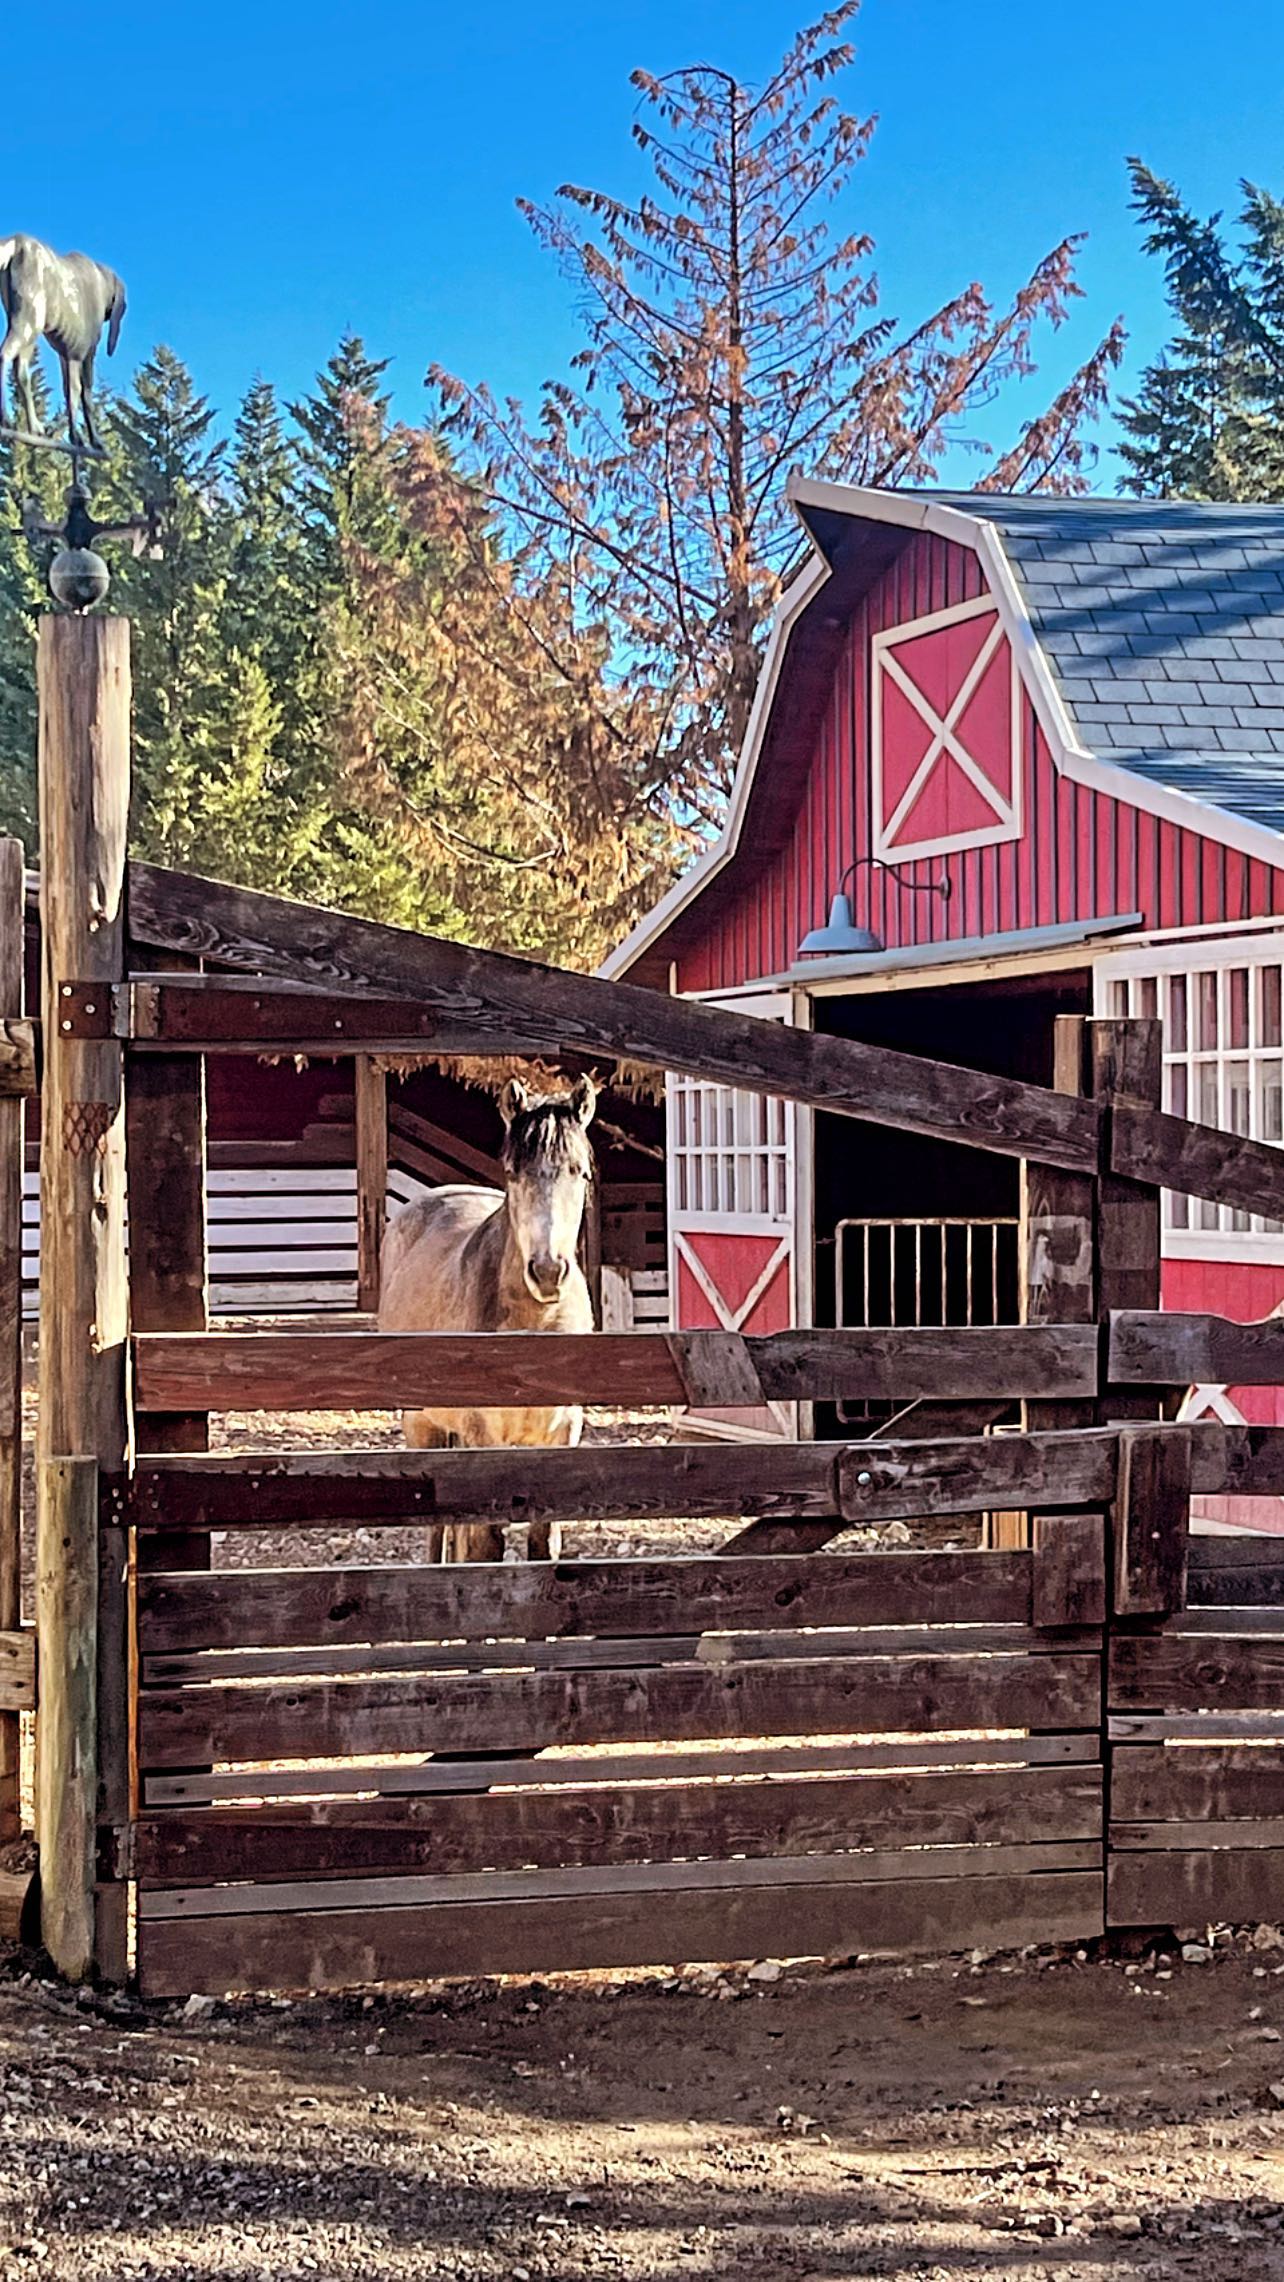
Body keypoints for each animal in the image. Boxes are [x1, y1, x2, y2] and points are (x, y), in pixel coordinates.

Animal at [0, 236, 127, 449]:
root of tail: (16, 243)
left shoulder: (66, 356)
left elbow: (69, 392)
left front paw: (76, 437)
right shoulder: (84, 354)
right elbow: (83, 394)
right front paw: (92, 439)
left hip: (23, 324)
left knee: (21, 371)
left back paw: (34, 427)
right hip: (29, 322)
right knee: (4, 356)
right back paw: (6, 418)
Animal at [378, 1077, 602, 1560]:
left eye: (580, 1171)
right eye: (513, 1171)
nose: (547, 1270)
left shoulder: (561, 1437)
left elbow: (542, 1542)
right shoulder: (484, 1438)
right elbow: (485, 1545)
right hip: (422, 1426)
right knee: (438, 1531)